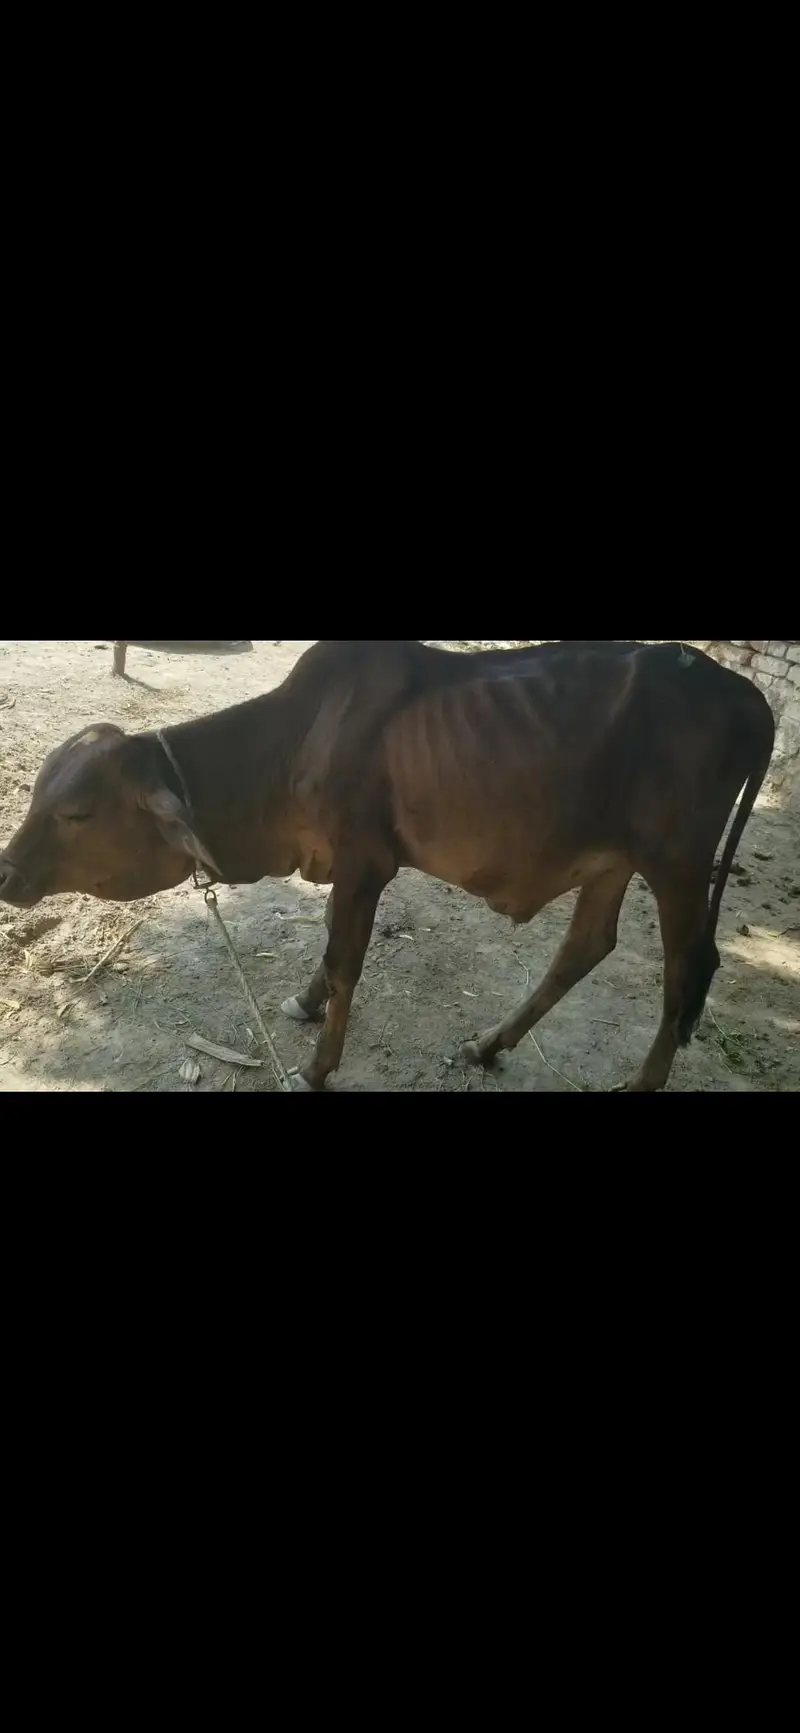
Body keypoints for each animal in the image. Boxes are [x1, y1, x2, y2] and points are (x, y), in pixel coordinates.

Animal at [0, 640, 775, 1092]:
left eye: (77, 812)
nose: (6, 873)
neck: (292, 742)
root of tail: (749, 696)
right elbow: (329, 948)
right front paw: (305, 1004)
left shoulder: (366, 860)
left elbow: (344, 958)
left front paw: (318, 1065)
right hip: (615, 858)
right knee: (585, 946)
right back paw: (489, 1044)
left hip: (677, 863)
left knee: (688, 969)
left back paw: (640, 1082)